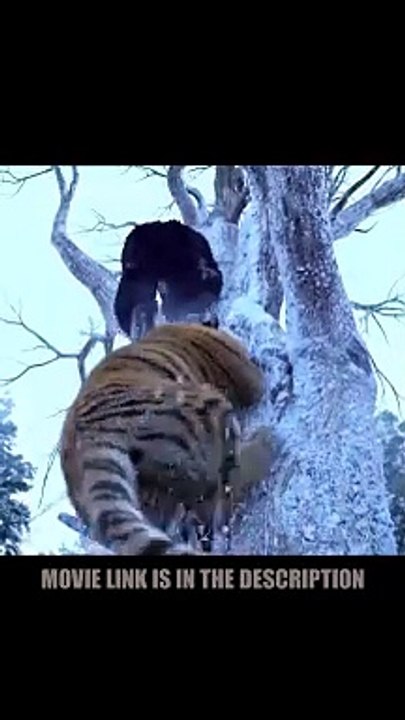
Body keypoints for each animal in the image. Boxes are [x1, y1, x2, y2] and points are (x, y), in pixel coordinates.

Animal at [59, 323, 270, 556]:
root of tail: (79, 439)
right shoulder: (247, 375)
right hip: (202, 407)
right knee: (224, 482)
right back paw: (267, 444)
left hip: (155, 490)